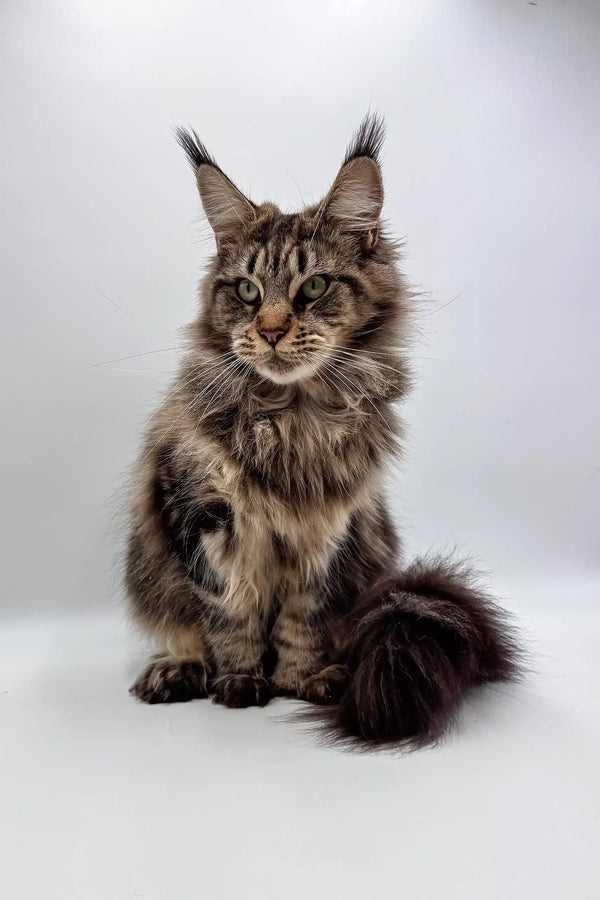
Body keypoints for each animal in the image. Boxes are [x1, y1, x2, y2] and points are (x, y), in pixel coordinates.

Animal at [126, 116, 520, 748]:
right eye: (246, 292)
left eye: (313, 288)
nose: (269, 330)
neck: (290, 418)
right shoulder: (202, 513)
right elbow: (227, 613)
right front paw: (238, 681)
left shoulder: (331, 524)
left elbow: (302, 618)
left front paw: (298, 679)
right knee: (181, 633)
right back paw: (176, 672)